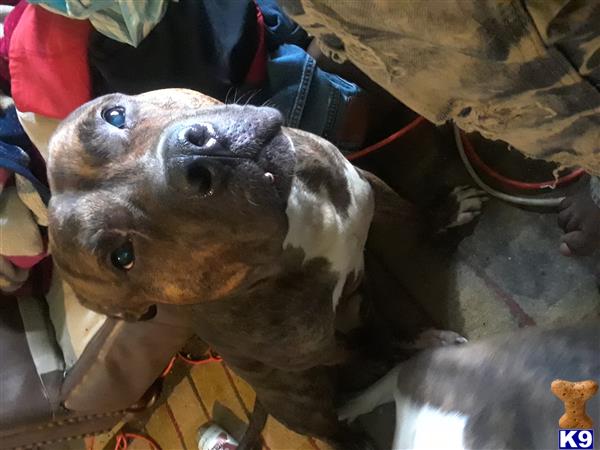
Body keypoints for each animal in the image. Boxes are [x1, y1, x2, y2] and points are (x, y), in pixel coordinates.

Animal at [48, 89, 482, 450]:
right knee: (339, 419)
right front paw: (411, 350)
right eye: (122, 256)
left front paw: (444, 215)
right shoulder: (320, 346)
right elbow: (375, 346)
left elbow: (406, 214)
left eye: (113, 114)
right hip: (307, 404)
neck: (295, 220)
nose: (192, 158)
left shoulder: (364, 182)